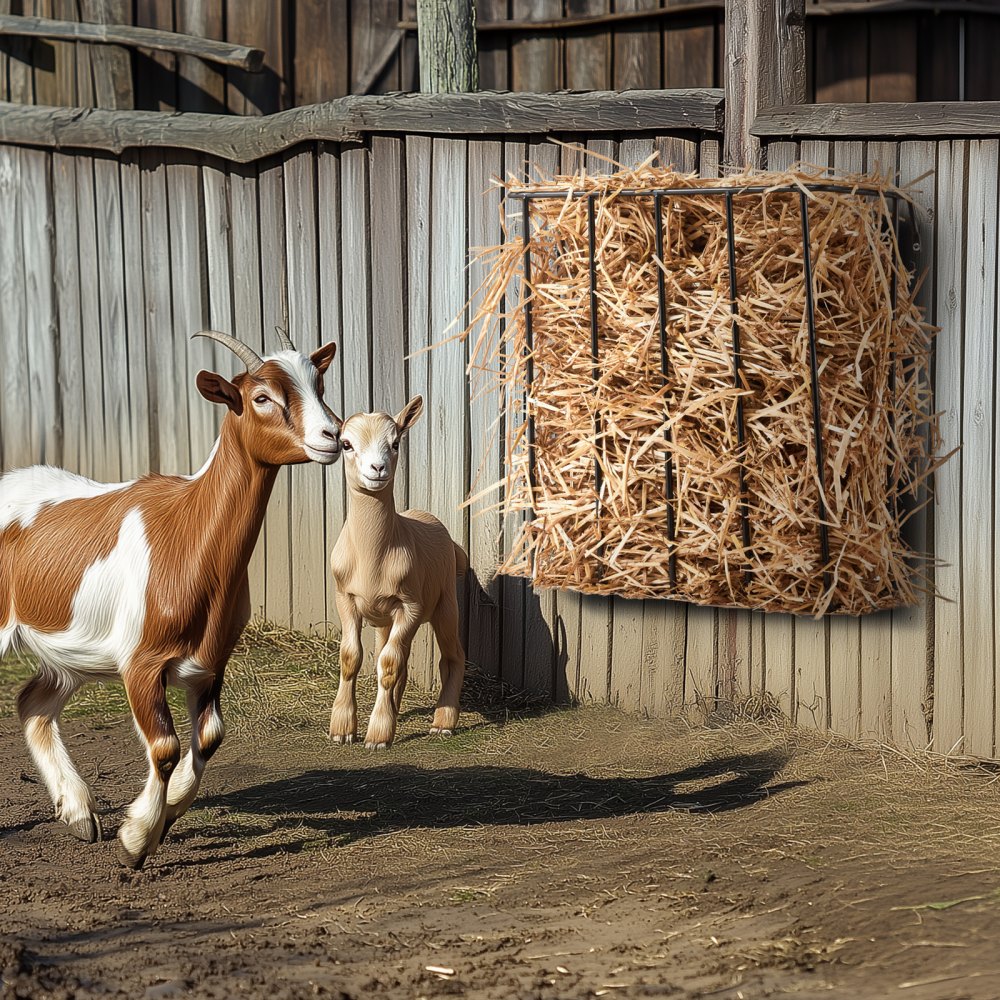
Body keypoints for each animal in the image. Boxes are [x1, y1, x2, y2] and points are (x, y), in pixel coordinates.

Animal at [1, 329, 340, 869]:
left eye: (319, 383)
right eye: (262, 397)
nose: (334, 435)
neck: (187, 532)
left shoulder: (211, 662)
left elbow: (209, 736)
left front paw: (165, 814)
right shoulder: (140, 661)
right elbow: (164, 746)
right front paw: (135, 841)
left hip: (70, 659)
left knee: (32, 703)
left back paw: (79, 816)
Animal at [328, 395, 467, 749]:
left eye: (394, 443)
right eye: (346, 444)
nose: (377, 469)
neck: (372, 556)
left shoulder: (410, 606)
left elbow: (388, 664)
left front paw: (378, 735)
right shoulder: (345, 599)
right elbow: (351, 657)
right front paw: (342, 729)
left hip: (445, 604)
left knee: (451, 656)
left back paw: (443, 723)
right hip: (385, 620)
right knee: (396, 658)